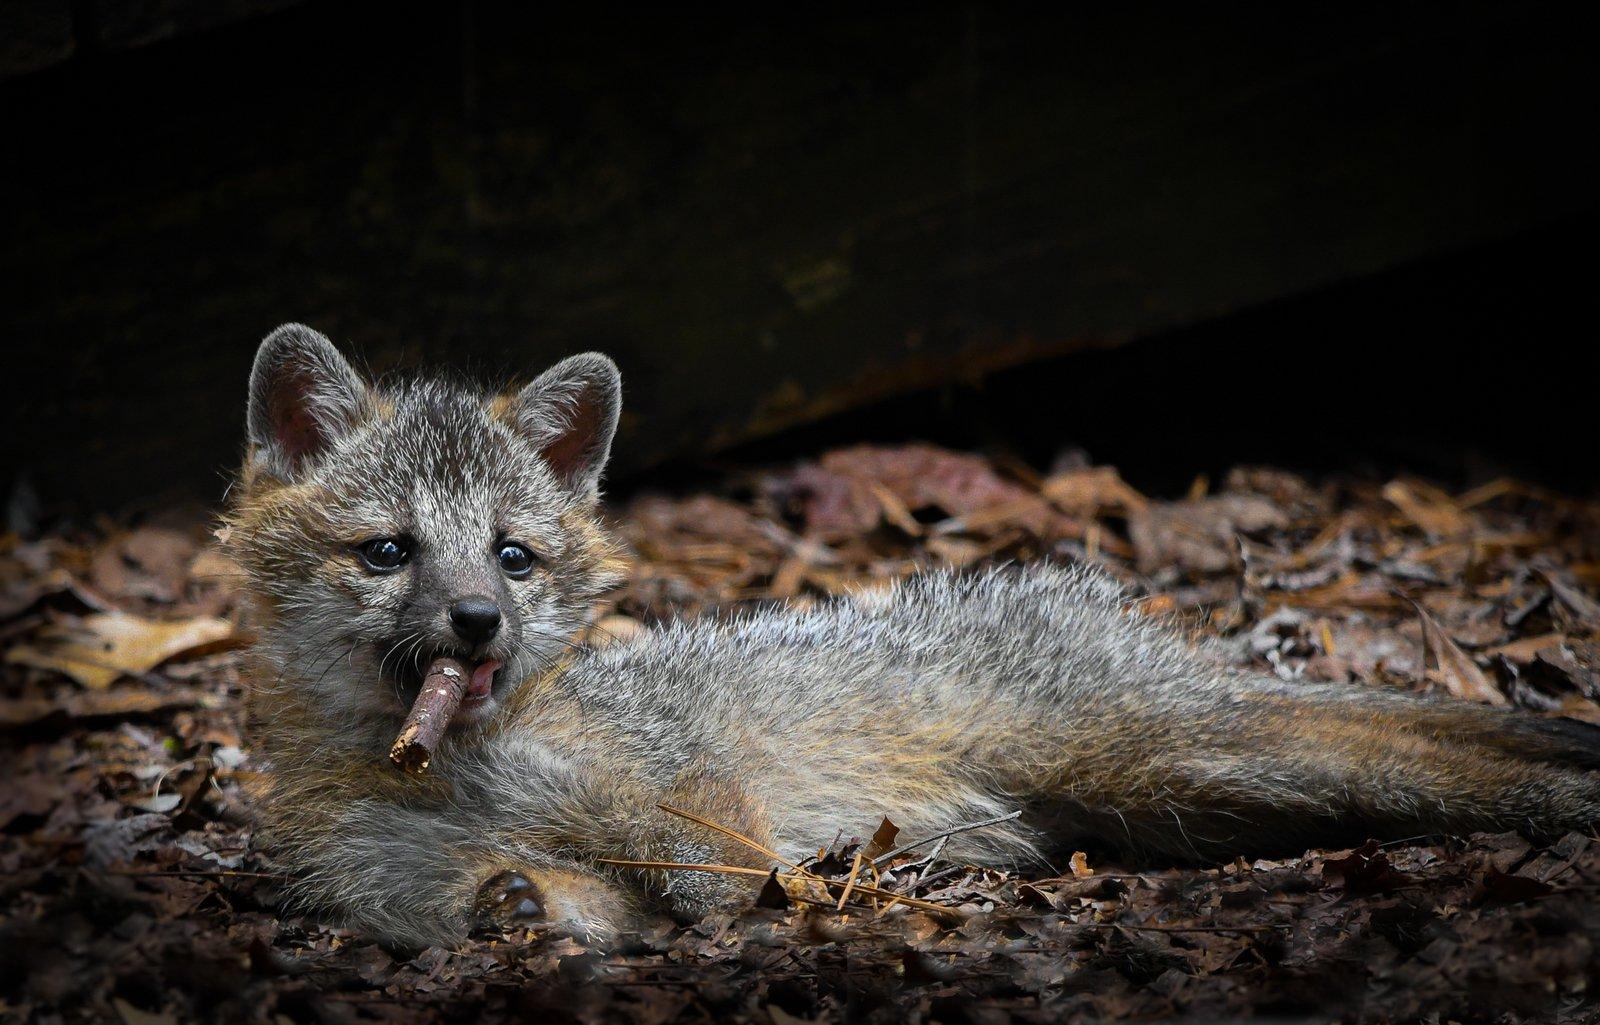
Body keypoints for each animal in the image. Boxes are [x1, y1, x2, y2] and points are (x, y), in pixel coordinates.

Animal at [232, 323, 1600, 946]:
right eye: (389, 552)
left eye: (511, 555)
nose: (478, 619)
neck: (459, 768)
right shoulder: (436, 886)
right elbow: (538, 899)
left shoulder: (687, 794)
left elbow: (721, 871)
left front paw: (792, 901)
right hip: (1177, 798)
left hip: (1183, 758)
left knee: (1435, 756)